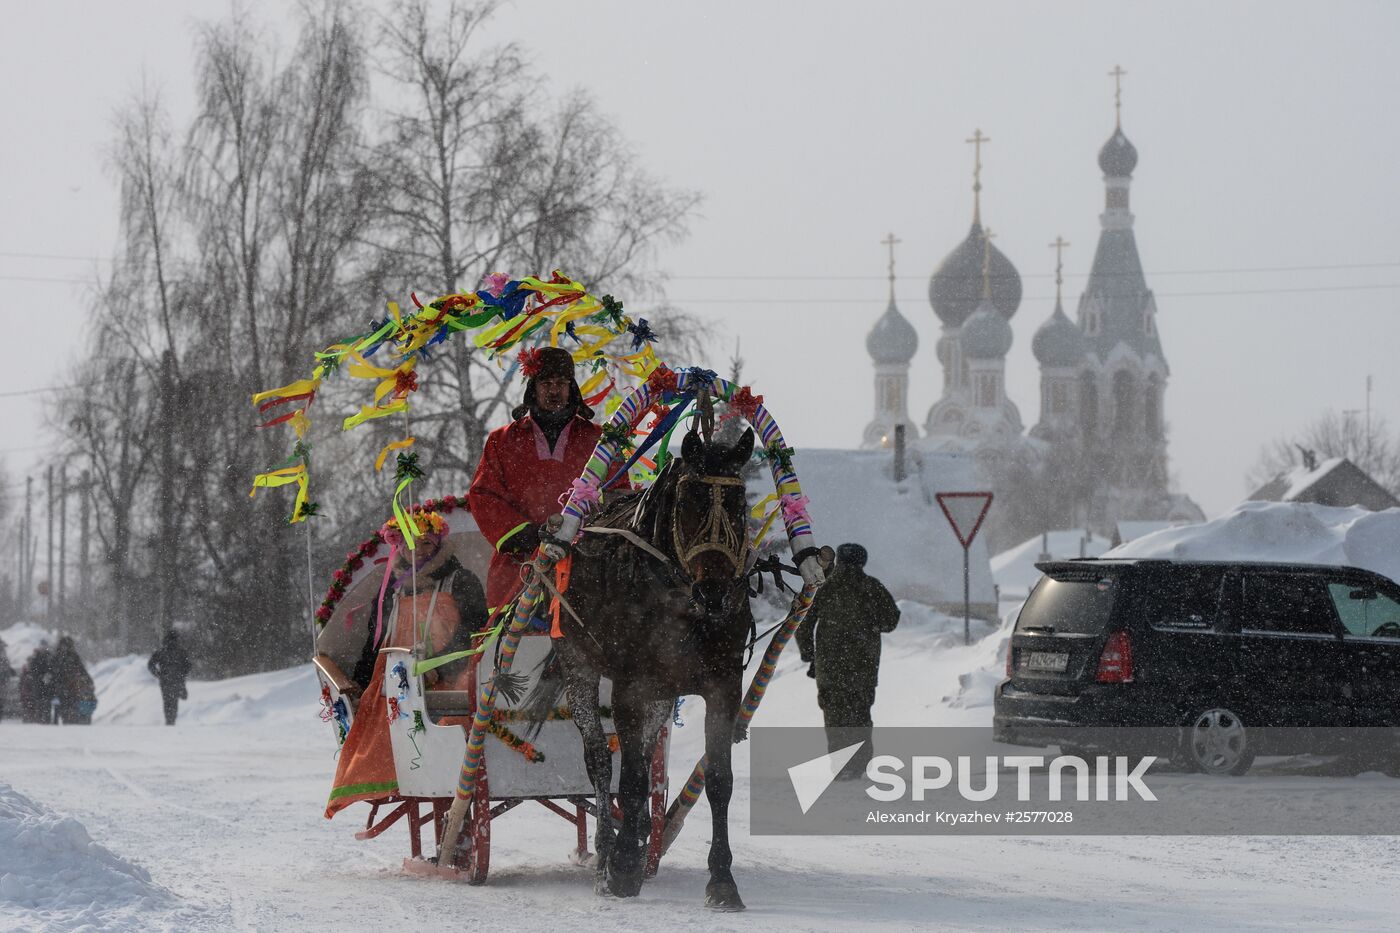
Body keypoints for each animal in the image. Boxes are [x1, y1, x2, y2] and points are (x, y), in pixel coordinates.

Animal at [526, 425, 761, 902]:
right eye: (688, 501)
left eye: (739, 504)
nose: (714, 593)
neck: (682, 604)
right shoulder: (631, 685)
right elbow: (629, 777)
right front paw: (621, 868)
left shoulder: (723, 684)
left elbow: (718, 780)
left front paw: (722, 880)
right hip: (580, 665)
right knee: (600, 759)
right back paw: (606, 852)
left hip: (661, 691)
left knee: (645, 757)